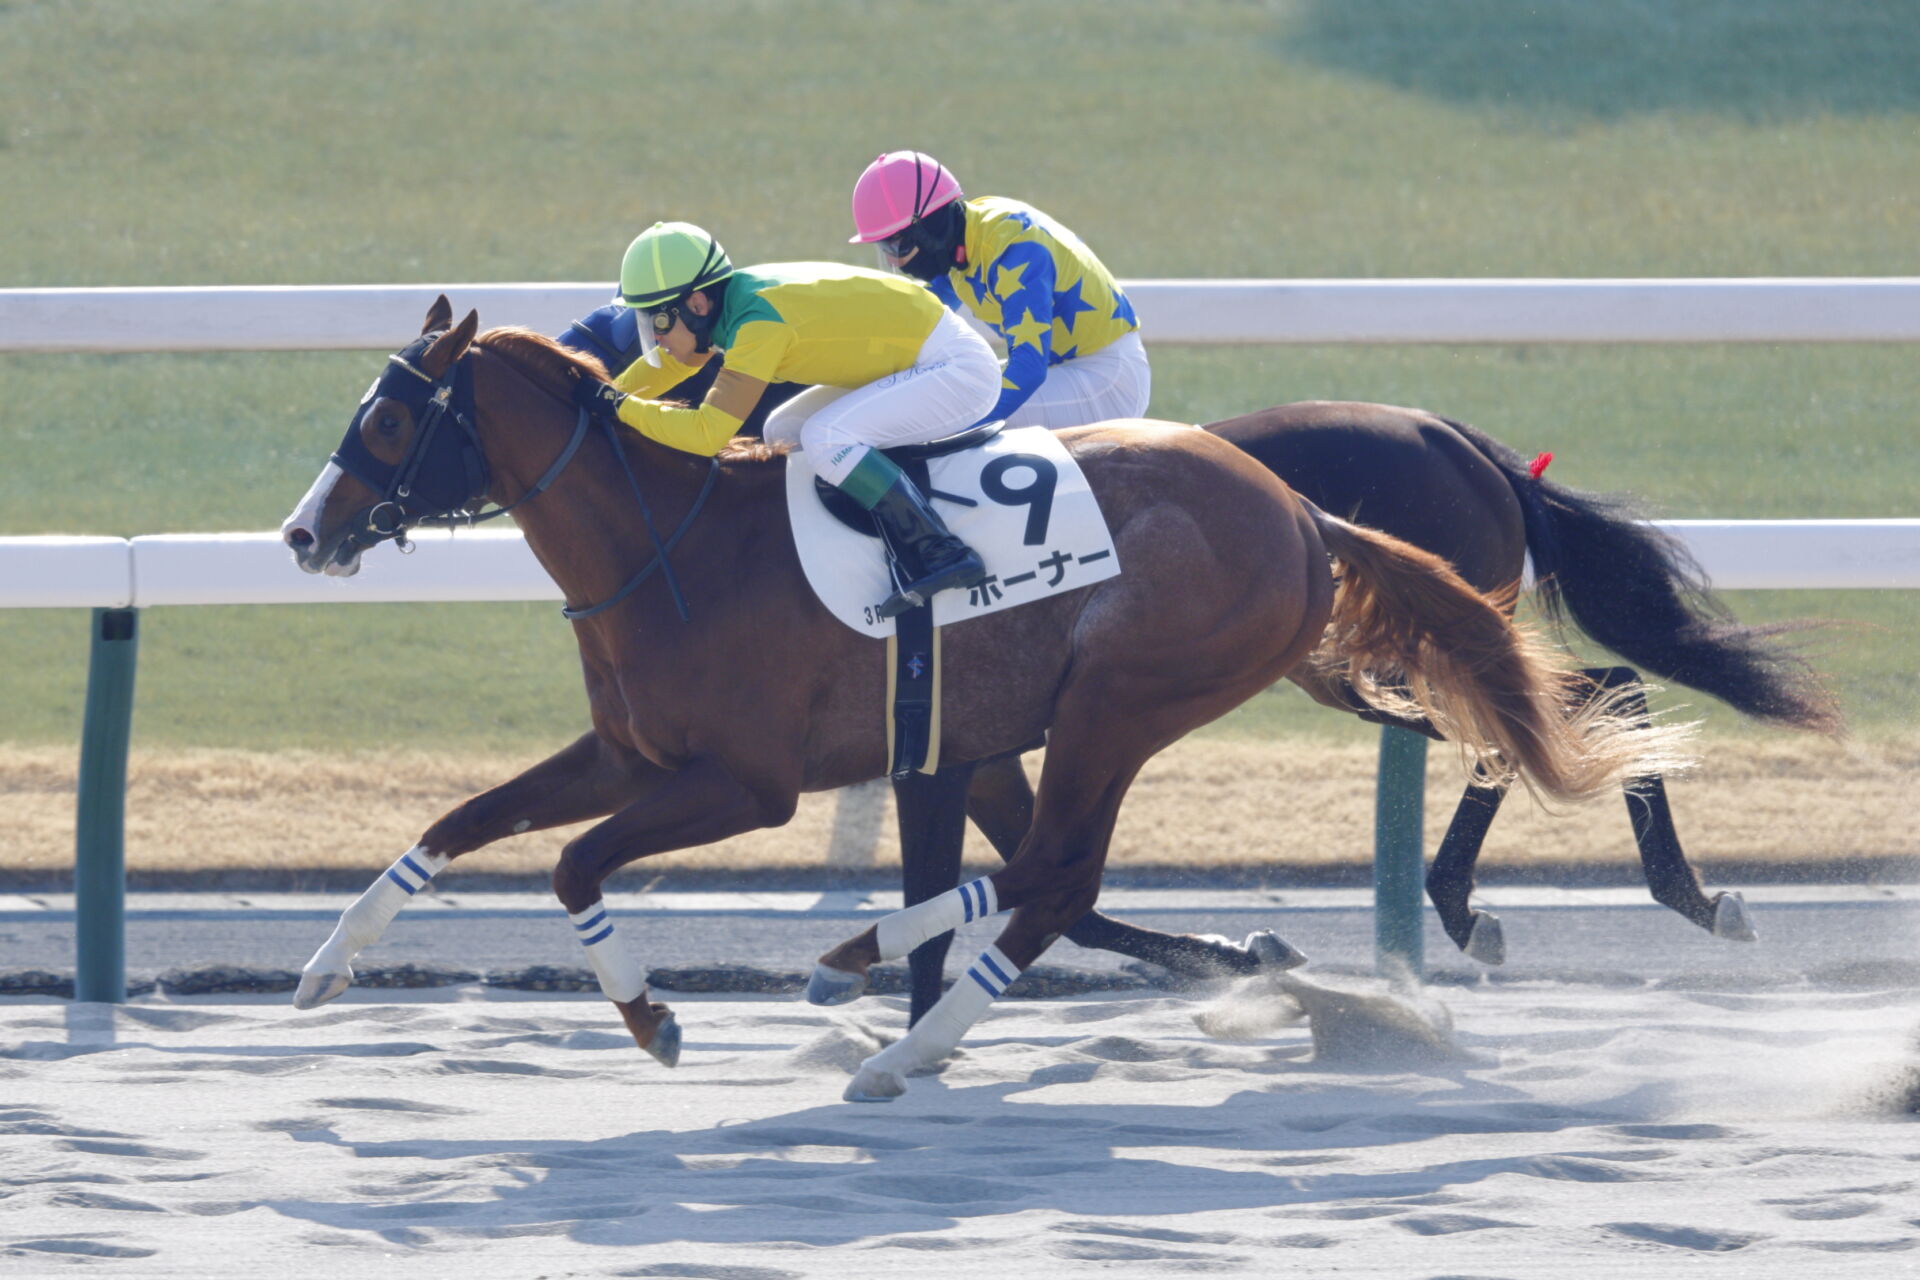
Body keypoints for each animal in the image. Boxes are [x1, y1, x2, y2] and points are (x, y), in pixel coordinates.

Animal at [280, 298, 1689, 1095]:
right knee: (1052, 874)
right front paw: (325, 969)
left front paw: (654, 1014)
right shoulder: (635, 752)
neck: (671, 539)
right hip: (1207, 692)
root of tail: (1301, 510)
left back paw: (885, 1011)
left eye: (392, 421)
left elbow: (571, 861)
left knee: (1059, 872)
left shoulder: (747, 783)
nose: (303, 534)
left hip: (1132, 697)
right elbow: (457, 824)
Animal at [888, 401, 1840, 1020]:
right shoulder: (986, 752)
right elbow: (1056, 891)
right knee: (1558, 714)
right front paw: (1240, 954)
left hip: (1401, 647)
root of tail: (1460, 442)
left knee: (1576, 702)